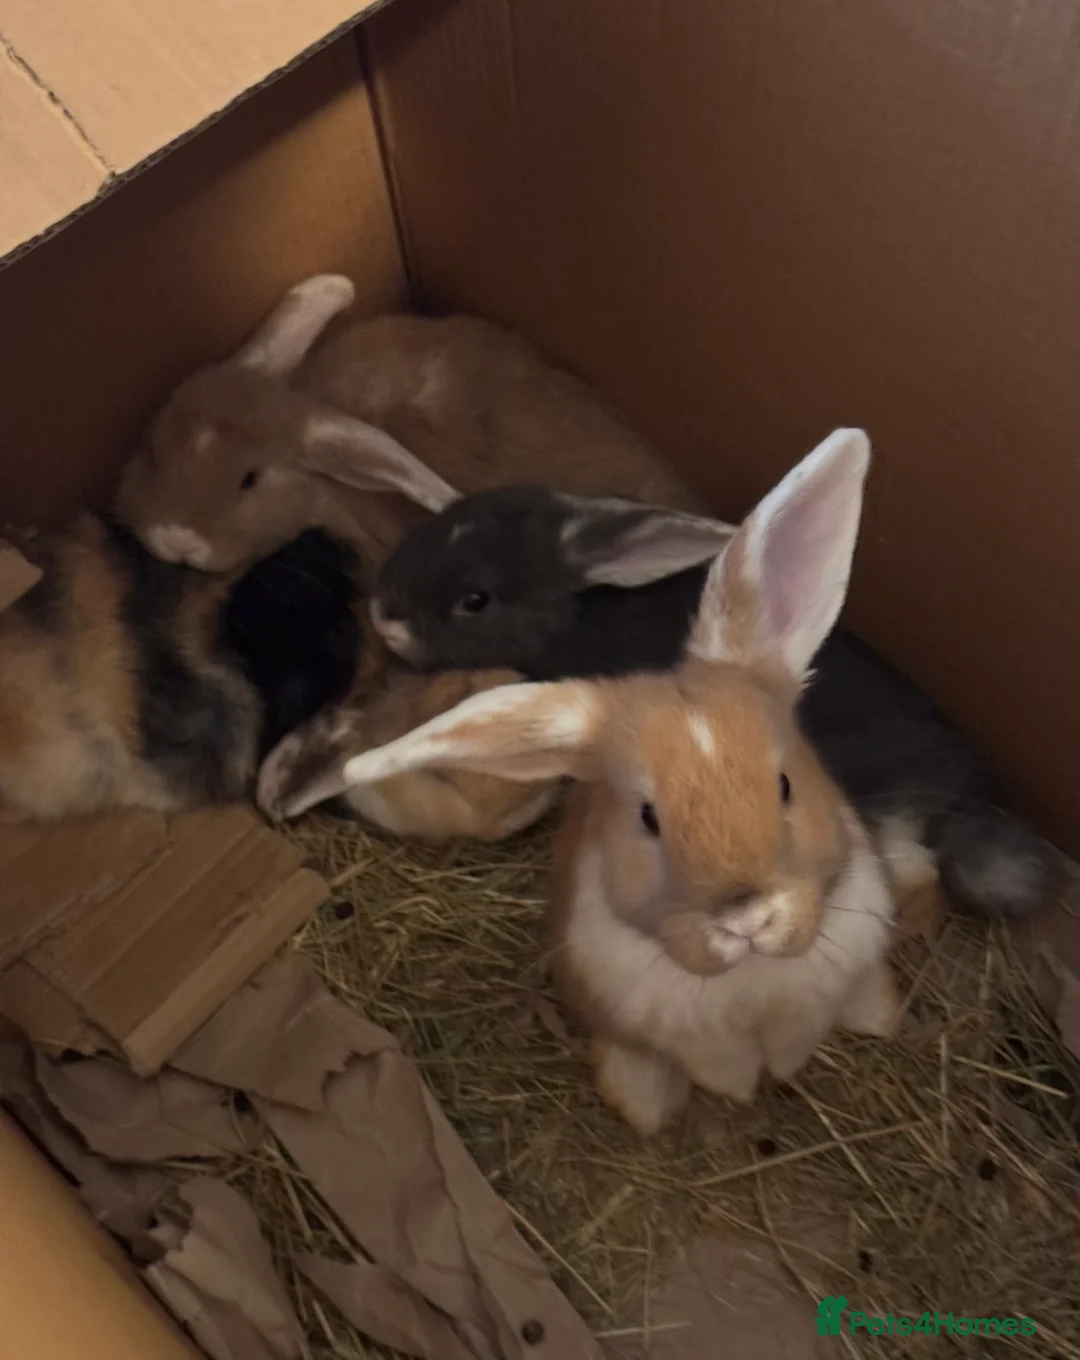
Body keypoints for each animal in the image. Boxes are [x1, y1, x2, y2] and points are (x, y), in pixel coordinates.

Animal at [335, 431, 904, 1135]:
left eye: (785, 784)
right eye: (647, 818)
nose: (745, 918)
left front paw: (778, 1072)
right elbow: (721, 1067)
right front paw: (741, 1091)